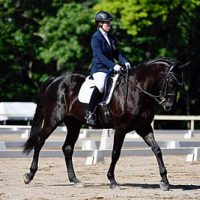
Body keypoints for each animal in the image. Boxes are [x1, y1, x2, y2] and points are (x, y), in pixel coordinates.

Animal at [23, 57, 186, 191]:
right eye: (171, 82)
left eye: (179, 84)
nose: (168, 106)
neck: (136, 89)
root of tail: (56, 80)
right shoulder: (121, 127)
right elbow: (115, 153)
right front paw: (112, 181)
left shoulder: (143, 127)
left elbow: (157, 149)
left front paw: (165, 181)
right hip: (52, 120)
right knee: (39, 143)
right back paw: (29, 175)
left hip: (74, 124)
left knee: (67, 148)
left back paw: (75, 180)